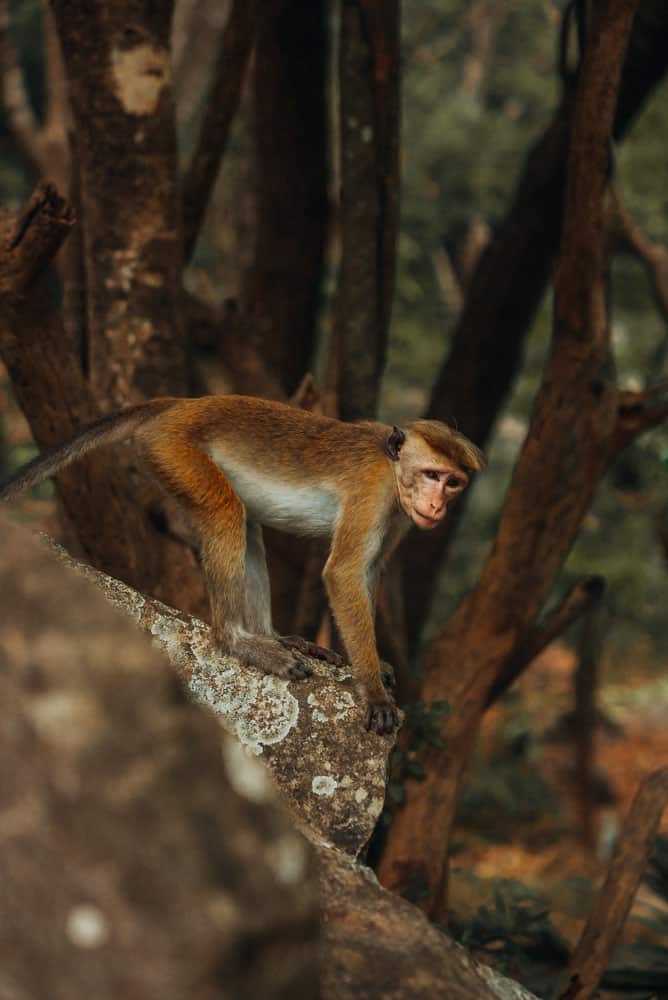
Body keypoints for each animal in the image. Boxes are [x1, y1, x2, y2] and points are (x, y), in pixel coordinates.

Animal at [0, 396, 480, 736]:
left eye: (453, 482)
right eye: (432, 475)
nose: (437, 506)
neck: (392, 467)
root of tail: (181, 403)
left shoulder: (397, 515)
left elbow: (370, 569)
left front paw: (375, 664)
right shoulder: (371, 491)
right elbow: (344, 574)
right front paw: (374, 691)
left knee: (246, 523)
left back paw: (272, 636)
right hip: (175, 450)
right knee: (226, 512)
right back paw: (236, 640)